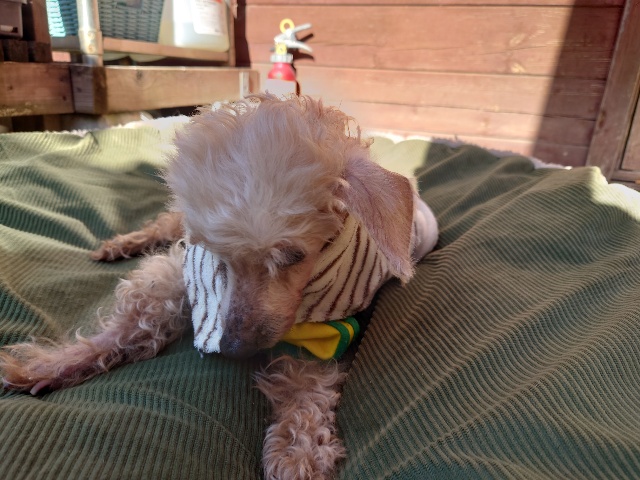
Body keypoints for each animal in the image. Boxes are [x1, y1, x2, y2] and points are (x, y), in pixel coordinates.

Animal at [0, 95, 438, 479]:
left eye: (293, 256)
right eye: (217, 257)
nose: (234, 348)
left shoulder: (333, 323)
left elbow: (310, 380)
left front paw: (299, 447)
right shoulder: (187, 267)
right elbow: (135, 319)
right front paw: (52, 363)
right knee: (163, 224)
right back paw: (122, 243)